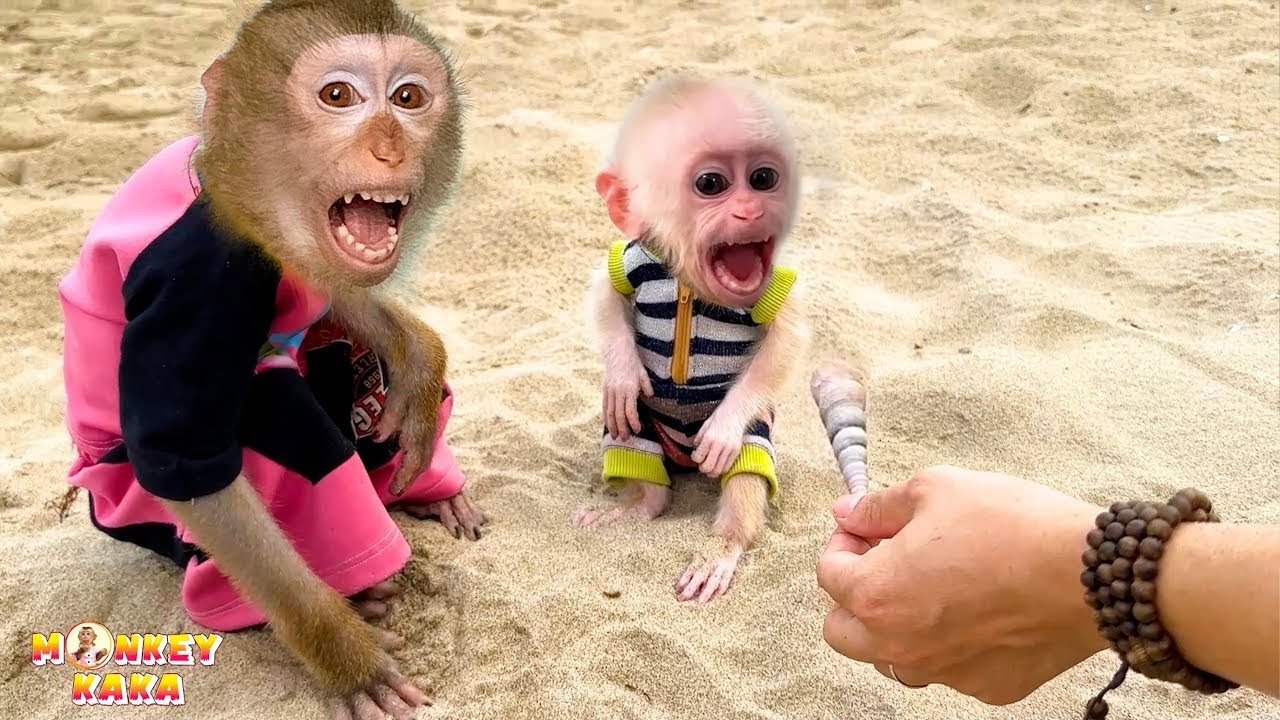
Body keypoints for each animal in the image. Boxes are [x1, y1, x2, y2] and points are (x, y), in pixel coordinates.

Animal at [56, 2, 484, 716]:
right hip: (125, 505)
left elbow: (336, 293)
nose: (390, 145)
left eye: (408, 98)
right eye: (337, 96)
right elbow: (191, 471)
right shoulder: (201, 276)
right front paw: (345, 657)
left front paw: (422, 370)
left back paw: (431, 490)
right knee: (279, 409)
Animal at [573, 76, 810, 604]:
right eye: (710, 184)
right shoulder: (631, 254)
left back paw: (718, 552)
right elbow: (604, 292)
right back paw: (633, 506)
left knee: (745, 481)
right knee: (643, 469)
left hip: (755, 441)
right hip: (639, 430)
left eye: (764, 178)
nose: (751, 210)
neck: (687, 284)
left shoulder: (773, 288)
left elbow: (788, 336)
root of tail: (681, 458)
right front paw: (622, 375)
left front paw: (719, 431)